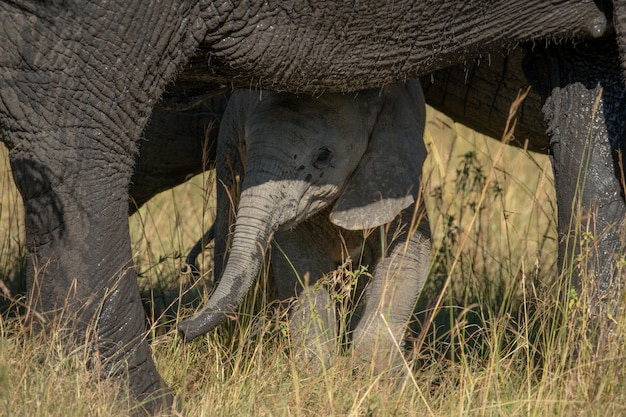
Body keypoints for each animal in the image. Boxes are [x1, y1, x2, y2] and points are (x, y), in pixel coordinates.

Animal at [176, 79, 428, 372]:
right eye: (247, 144)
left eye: (323, 156)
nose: (182, 329)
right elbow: (300, 267)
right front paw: (317, 371)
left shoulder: (397, 174)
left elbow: (408, 258)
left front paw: (375, 370)